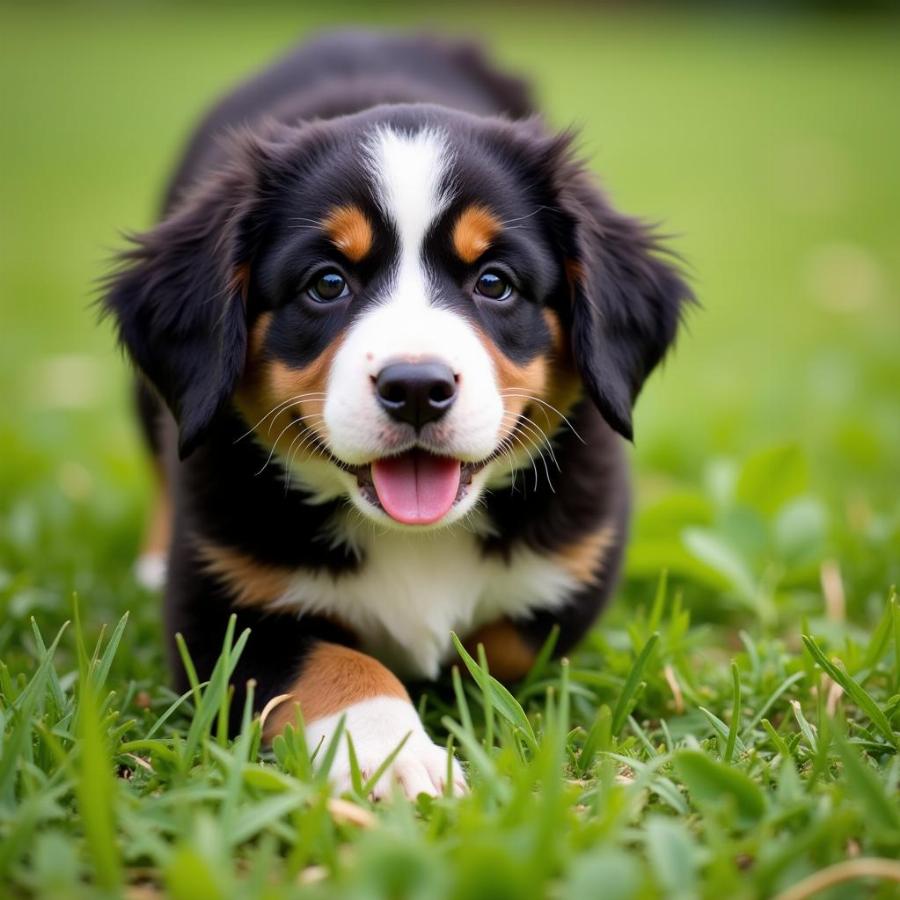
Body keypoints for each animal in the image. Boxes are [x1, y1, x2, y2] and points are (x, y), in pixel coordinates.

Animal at [105, 31, 692, 800]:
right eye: (327, 283)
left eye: (494, 282)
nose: (416, 387)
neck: (413, 537)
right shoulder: (216, 610)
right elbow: (337, 661)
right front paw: (397, 757)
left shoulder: (569, 574)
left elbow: (501, 646)